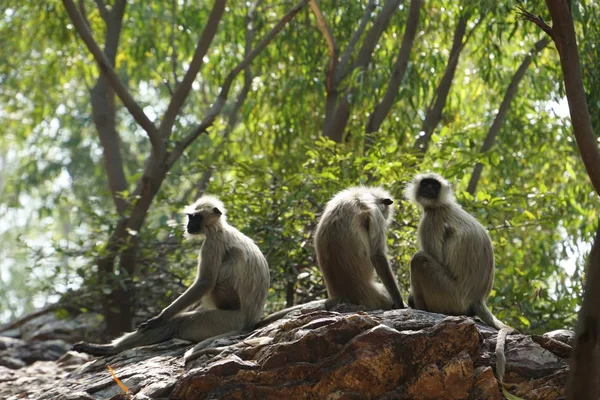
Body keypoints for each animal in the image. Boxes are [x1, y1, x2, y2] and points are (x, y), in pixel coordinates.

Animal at [72, 195, 270, 360]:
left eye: (195, 218)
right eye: (190, 217)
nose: (188, 226)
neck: (219, 228)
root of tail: (250, 320)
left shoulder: (212, 243)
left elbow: (204, 284)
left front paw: (159, 318)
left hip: (225, 321)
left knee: (179, 322)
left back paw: (108, 349)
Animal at [255, 186, 406, 326]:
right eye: (385, 212)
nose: (387, 216)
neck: (360, 195)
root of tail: (340, 295)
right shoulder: (375, 213)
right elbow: (377, 255)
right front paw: (400, 303)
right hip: (375, 296)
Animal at [406, 173, 516, 382]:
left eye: (434, 186)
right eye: (426, 184)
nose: (429, 190)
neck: (441, 205)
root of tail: (478, 299)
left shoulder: (432, 219)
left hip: (450, 296)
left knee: (420, 259)